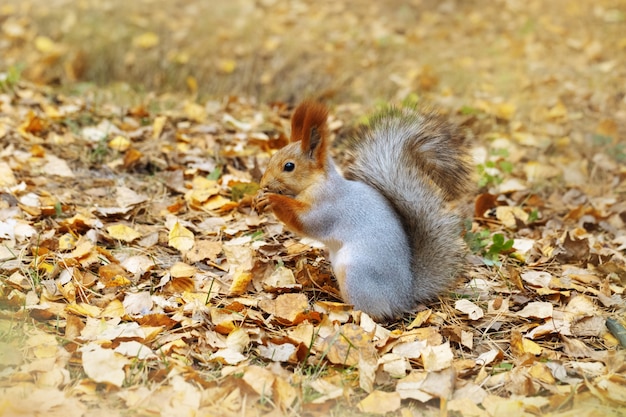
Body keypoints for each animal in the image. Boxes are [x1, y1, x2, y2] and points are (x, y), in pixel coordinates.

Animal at [251, 100, 470, 318]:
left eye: (289, 166)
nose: (263, 184)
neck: (317, 183)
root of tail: (403, 297)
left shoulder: (328, 206)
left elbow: (306, 222)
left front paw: (272, 200)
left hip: (356, 273)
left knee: (369, 312)